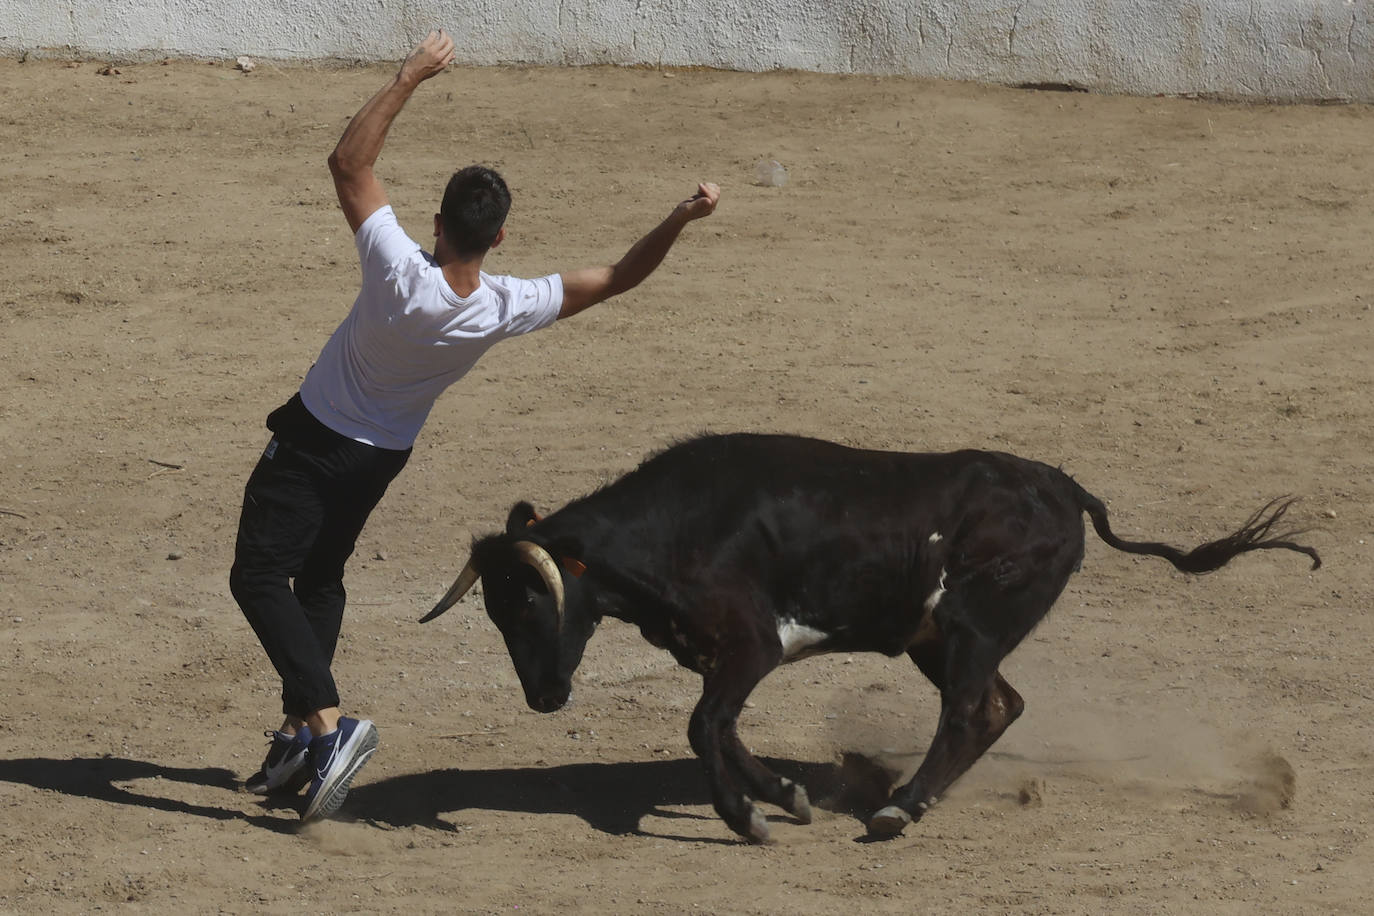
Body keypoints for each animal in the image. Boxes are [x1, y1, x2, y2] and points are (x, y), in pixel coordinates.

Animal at [420, 436, 1319, 845]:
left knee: (968, 712)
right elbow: (723, 727)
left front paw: (749, 818)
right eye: (495, 610)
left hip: (968, 627)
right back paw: (905, 798)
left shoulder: (750, 646)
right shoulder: (726, 657)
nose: (545, 697)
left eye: (531, 600)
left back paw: (898, 808)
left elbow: (705, 726)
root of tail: (1065, 489)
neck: (675, 528)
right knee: (999, 707)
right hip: (940, 639)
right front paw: (785, 798)